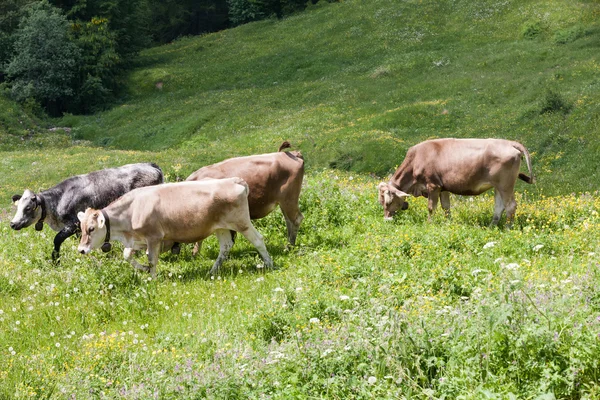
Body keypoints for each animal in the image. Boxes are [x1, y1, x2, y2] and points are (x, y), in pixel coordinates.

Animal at [9, 163, 164, 262]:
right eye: (18, 207)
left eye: (28, 208)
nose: (13, 223)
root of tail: (151, 165)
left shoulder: (73, 223)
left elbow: (57, 239)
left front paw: (55, 260)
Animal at [76, 179, 274, 276]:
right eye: (82, 227)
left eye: (91, 229)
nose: (81, 250)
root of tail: (235, 181)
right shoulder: (138, 239)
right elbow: (127, 255)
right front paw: (144, 270)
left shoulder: (154, 237)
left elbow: (152, 259)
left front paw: (152, 278)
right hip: (221, 227)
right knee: (225, 247)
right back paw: (212, 271)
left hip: (241, 222)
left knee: (258, 240)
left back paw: (270, 264)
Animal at [378, 138, 536, 225]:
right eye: (381, 201)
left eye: (388, 201)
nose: (386, 219)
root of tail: (510, 143)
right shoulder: (443, 188)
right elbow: (446, 207)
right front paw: (448, 222)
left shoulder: (433, 186)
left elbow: (431, 207)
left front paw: (429, 223)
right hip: (498, 186)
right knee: (499, 206)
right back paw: (492, 226)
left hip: (505, 185)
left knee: (510, 206)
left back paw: (508, 228)